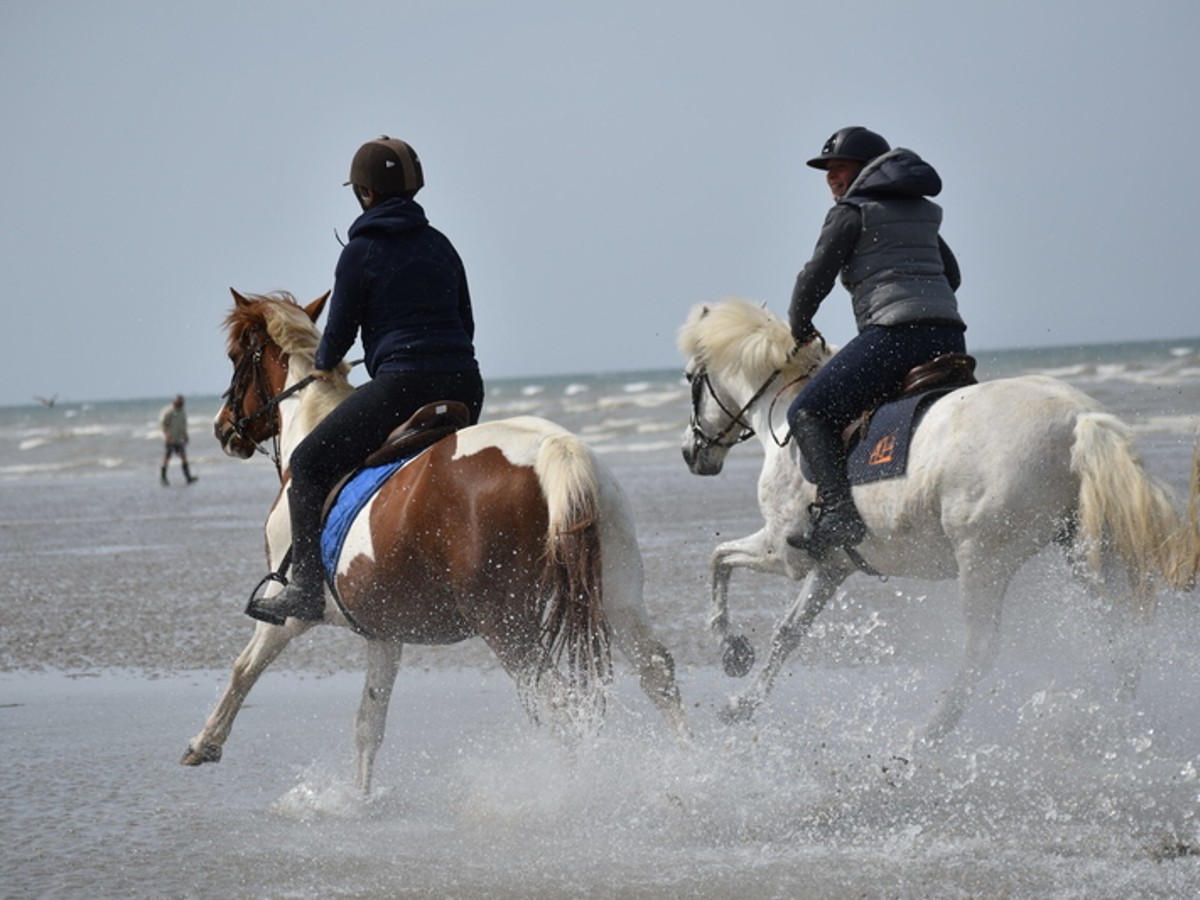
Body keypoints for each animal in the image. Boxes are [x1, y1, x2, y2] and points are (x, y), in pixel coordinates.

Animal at [681, 300, 1195, 744]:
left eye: (690, 378)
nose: (691, 453)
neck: (783, 424)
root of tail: (1078, 419)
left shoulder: (784, 552)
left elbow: (718, 559)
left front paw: (731, 651)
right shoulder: (831, 565)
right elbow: (788, 633)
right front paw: (742, 704)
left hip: (983, 561)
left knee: (980, 651)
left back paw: (928, 732)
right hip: (1087, 551)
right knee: (1122, 636)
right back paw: (1121, 719)